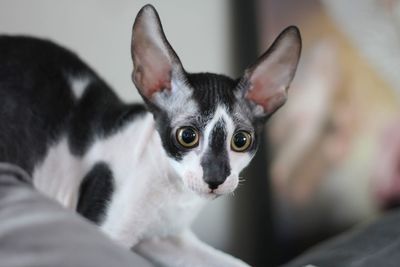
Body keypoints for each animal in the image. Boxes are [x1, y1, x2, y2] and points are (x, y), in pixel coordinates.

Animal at [0, 4, 300, 267]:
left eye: (240, 140)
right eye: (187, 136)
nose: (215, 179)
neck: (175, 193)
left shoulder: (165, 238)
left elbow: (234, 262)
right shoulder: (106, 233)